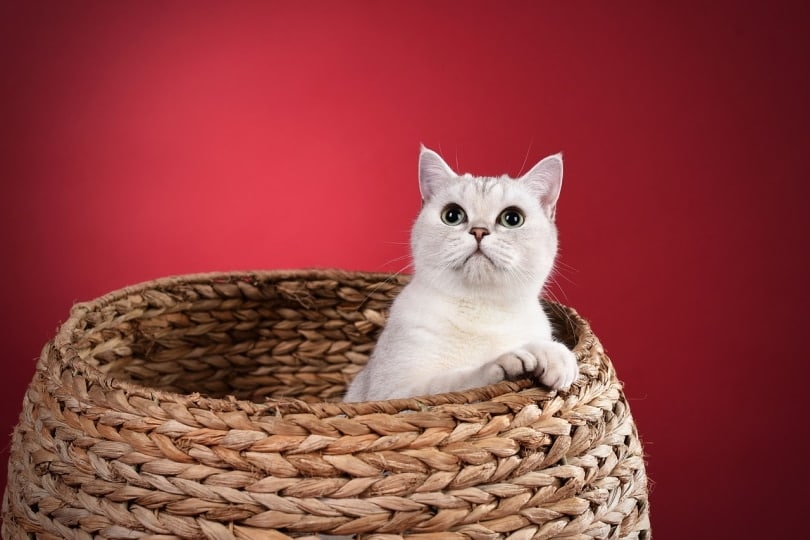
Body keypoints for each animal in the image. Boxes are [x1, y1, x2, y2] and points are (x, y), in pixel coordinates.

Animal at [344, 147, 576, 400]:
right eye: (452, 215)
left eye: (512, 218)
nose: (479, 231)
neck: (481, 309)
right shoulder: (393, 392)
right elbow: (458, 380)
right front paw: (508, 363)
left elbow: (540, 344)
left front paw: (557, 357)